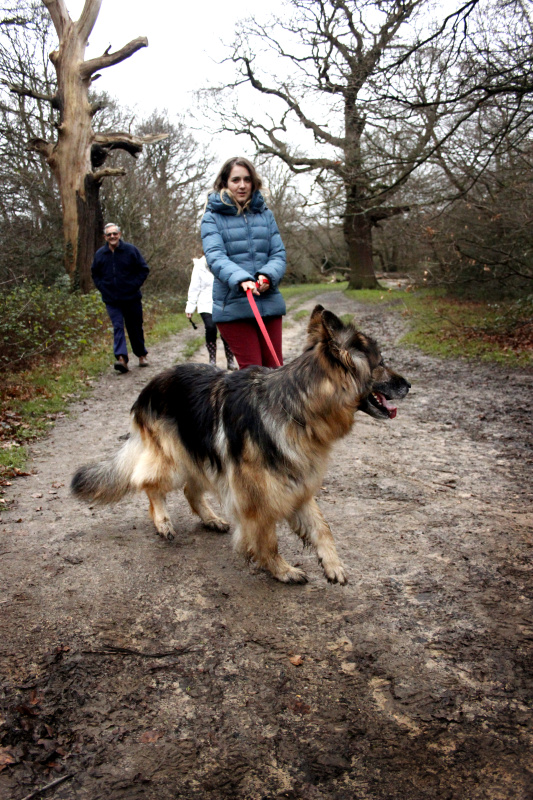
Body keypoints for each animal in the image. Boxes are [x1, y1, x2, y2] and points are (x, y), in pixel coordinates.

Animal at [72, 304, 410, 580]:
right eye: (380, 363)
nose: (408, 384)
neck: (295, 407)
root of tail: (149, 387)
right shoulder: (256, 497)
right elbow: (267, 538)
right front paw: (280, 570)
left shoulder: (296, 483)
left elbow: (321, 526)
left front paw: (332, 563)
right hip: (174, 459)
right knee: (149, 483)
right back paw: (163, 522)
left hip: (200, 456)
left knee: (190, 490)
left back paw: (211, 519)